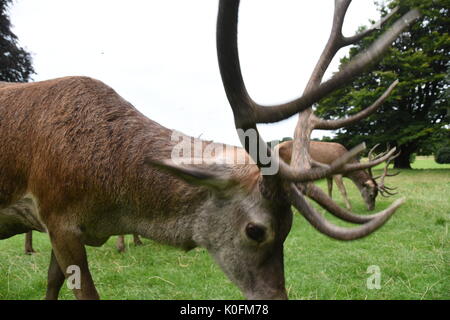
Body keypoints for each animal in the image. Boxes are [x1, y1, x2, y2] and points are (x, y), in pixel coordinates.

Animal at [0, 0, 418, 300]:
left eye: (289, 228)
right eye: (256, 231)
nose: (277, 297)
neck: (108, 197)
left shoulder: (59, 224)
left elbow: (51, 285)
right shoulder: (56, 214)